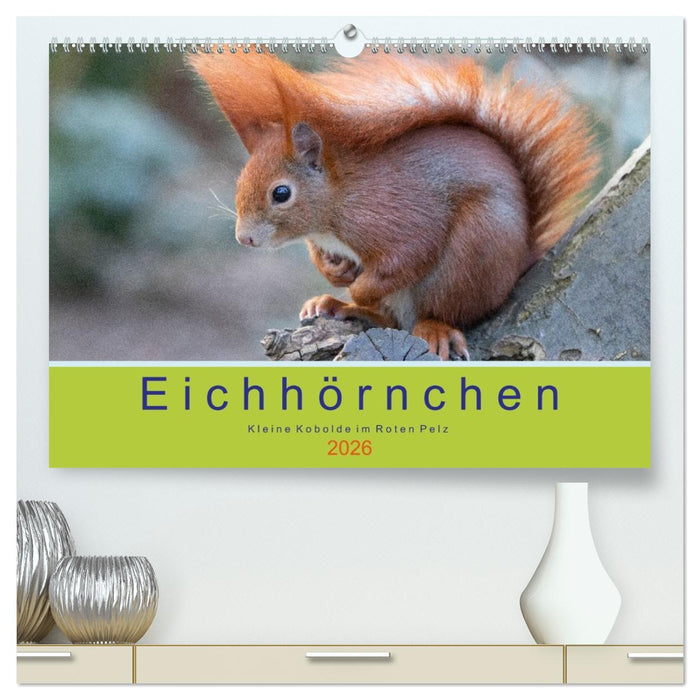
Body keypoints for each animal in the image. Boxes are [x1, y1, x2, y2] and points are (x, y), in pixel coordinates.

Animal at [189, 50, 599, 359]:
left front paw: (358, 287)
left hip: (475, 251)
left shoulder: (394, 216)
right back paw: (336, 305)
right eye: (240, 181)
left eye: (281, 193)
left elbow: (407, 256)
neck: (336, 204)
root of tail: (518, 264)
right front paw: (335, 273)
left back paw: (429, 326)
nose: (244, 238)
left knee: (439, 311)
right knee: (388, 320)